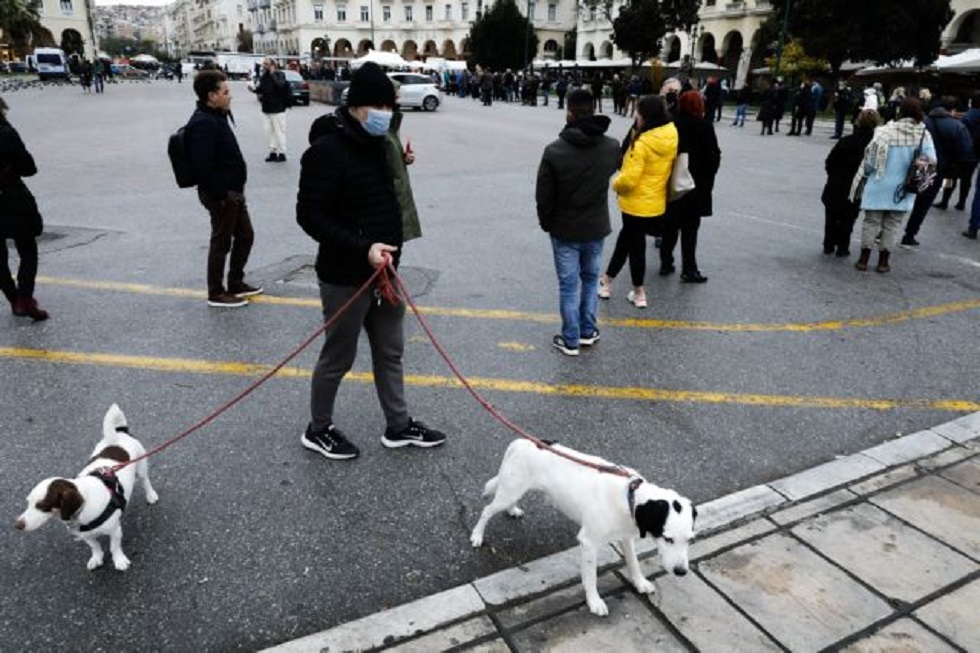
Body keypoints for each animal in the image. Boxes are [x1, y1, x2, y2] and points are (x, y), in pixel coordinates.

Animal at [13, 404, 158, 568]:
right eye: (28, 503)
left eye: (41, 505)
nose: (17, 525)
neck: (84, 506)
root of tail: (120, 432)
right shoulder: (86, 536)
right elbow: (95, 546)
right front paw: (97, 558)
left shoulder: (115, 531)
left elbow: (114, 547)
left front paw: (119, 560)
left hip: (141, 468)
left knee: (145, 481)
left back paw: (151, 495)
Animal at [468, 438, 692, 616]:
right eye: (668, 539)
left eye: (689, 540)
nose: (682, 572)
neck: (630, 495)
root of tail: (522, 442)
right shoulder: (589, 542)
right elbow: (591, 577)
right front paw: (594, 602)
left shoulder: (626, 536)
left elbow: (633, 562)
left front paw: (640, 582)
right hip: (509, 491)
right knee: (487, 510)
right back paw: (477, 535)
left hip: (515, 490)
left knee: (509, 503)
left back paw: (513, 510)